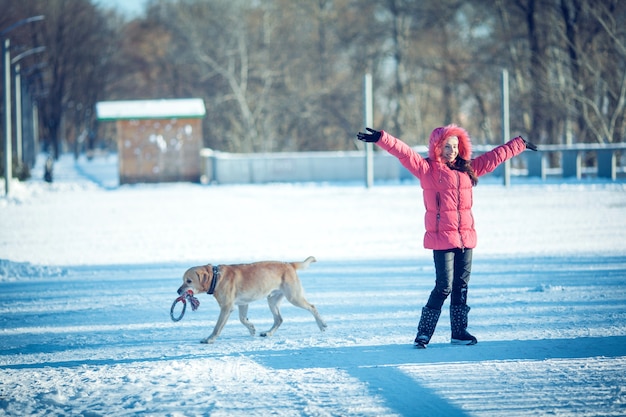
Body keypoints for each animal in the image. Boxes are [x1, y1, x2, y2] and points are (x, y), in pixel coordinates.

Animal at [173, 255, 324, 342]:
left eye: (189, 281)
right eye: (183, 280)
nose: (178, 290)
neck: (216, 278)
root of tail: (289, 264)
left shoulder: (226, 307)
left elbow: (217, 327)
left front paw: (209, 339)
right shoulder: (242, 304)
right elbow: (243, 319)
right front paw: (252, 329)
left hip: (294, 297)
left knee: (313, 307)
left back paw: (322, 325)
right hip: (272, 300)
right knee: (279, 319)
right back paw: (268, 333)